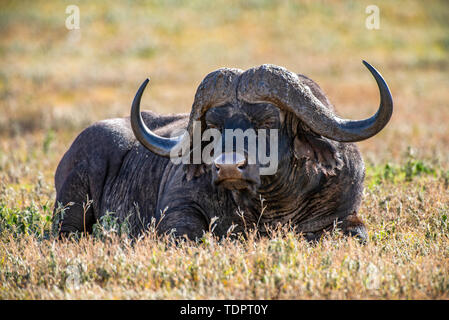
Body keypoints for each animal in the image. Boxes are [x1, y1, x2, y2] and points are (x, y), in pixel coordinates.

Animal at [53, 61, 392, 241]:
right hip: (71, 206)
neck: (270, 207)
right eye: (215, 125)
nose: (228, 167)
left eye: (268, 121)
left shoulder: (346, 213)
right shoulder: (177, 211)